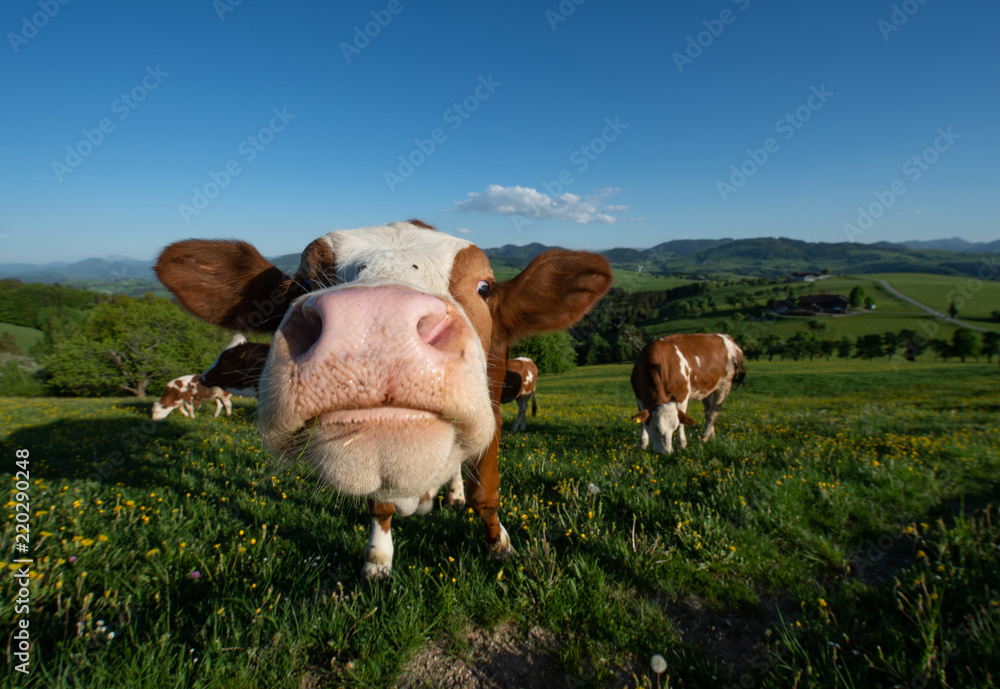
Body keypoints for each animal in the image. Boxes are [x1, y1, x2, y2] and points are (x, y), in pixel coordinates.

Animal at [155, 220, 612, 579]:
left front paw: (499, 545)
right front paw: (378, 561)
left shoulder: (494, 413)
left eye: (484, 287)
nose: (376, 318)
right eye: (302, 284)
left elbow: (486, 492)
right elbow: (380, 505)